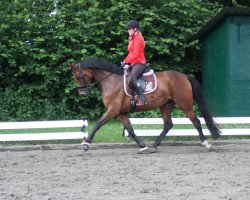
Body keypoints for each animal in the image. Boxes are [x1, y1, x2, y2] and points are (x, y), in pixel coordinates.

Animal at [69, 57, 220, 154]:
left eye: (79, 76)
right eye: (75, 77)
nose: (82, 93)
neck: (110, 81)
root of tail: (184, 76)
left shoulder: (113, 110)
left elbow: (97, 124)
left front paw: (86, 144)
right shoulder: (121, 113)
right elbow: (130, 130)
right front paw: (143, 147)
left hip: (185, 104)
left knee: (196, 122)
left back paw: (206, 144)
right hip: (165, 105)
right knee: (168, 124)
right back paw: (154, 146)